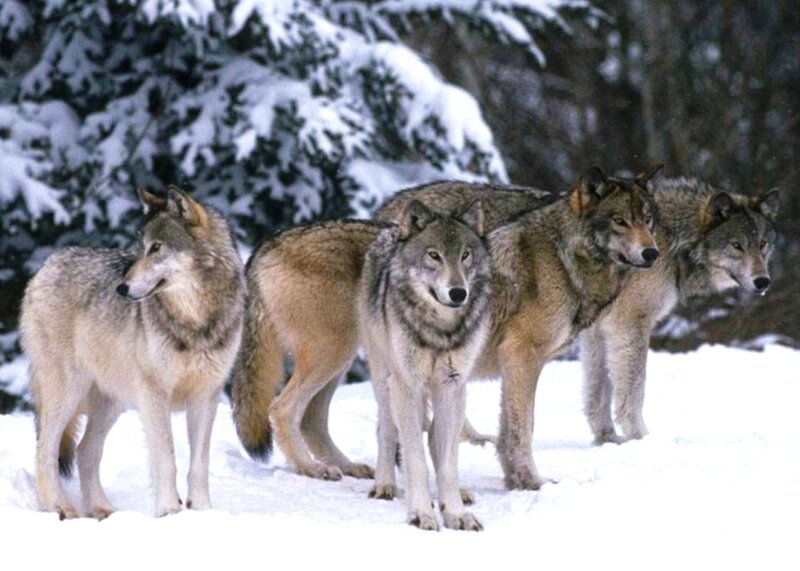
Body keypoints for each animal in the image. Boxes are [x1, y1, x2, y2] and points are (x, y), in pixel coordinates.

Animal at [21, 188, 246, 519]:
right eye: (139, 250)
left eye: (156, 248)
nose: (122, 288)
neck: (194, 322)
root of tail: (48, 264)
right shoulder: (154, 395)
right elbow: (166, 459)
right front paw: (169, 511)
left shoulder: (207, 395)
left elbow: (199, 464)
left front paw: (203, 511)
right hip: (68, 393)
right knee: (44, 449)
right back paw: (59, 508)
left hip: (111, 401)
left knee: (85, 451)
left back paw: (102, 509)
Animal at [359, 199, 490, 531]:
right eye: (434, 255)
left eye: (465, 255)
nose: (458, 292)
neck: (440, 331)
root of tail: (392, 229)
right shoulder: (407, 384)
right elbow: (415, 460)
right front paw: (421, 512)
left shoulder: (452, 384)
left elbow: (447, 462)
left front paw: (454, 512)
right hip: (385, 378)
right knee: (387, 430)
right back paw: (385, 485)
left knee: (433, 435)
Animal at [581, 178, 780, 444]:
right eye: (737, 245)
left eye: (762, 244)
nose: (763, 282)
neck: (673, 242)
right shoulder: (630, 325)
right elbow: (634, 391)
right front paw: (641, 438)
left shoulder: (596, 331)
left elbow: (597, 394)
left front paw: (607, 440)